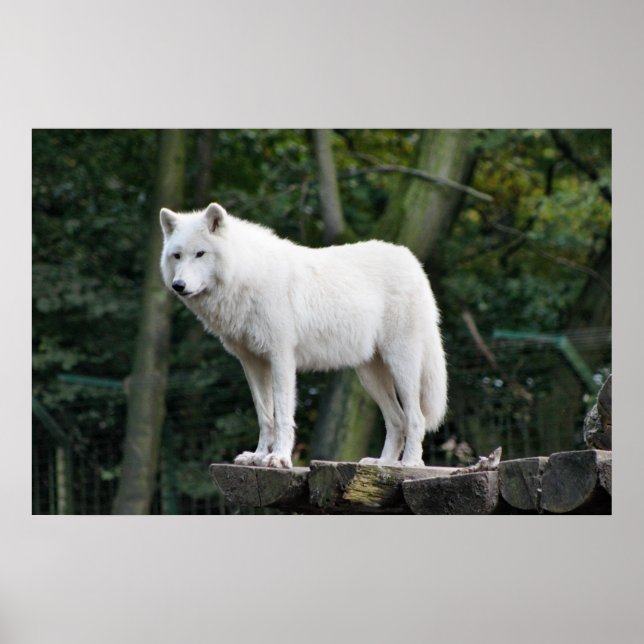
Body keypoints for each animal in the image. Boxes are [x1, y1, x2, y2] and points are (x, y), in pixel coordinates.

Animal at [160, 203, 447, 469]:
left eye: (200, 254)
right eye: (177, 256)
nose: (178, 286)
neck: (246, 275)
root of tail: (413, 262)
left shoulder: (281, 358)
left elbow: (283, 414)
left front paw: (279, 458)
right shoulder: (252, 363)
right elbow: (265, 415)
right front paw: (258, 456)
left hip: (401, 366)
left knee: (416, 418)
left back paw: (410, 464)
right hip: (369, 375)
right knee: (397, 420)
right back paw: (382, 464)